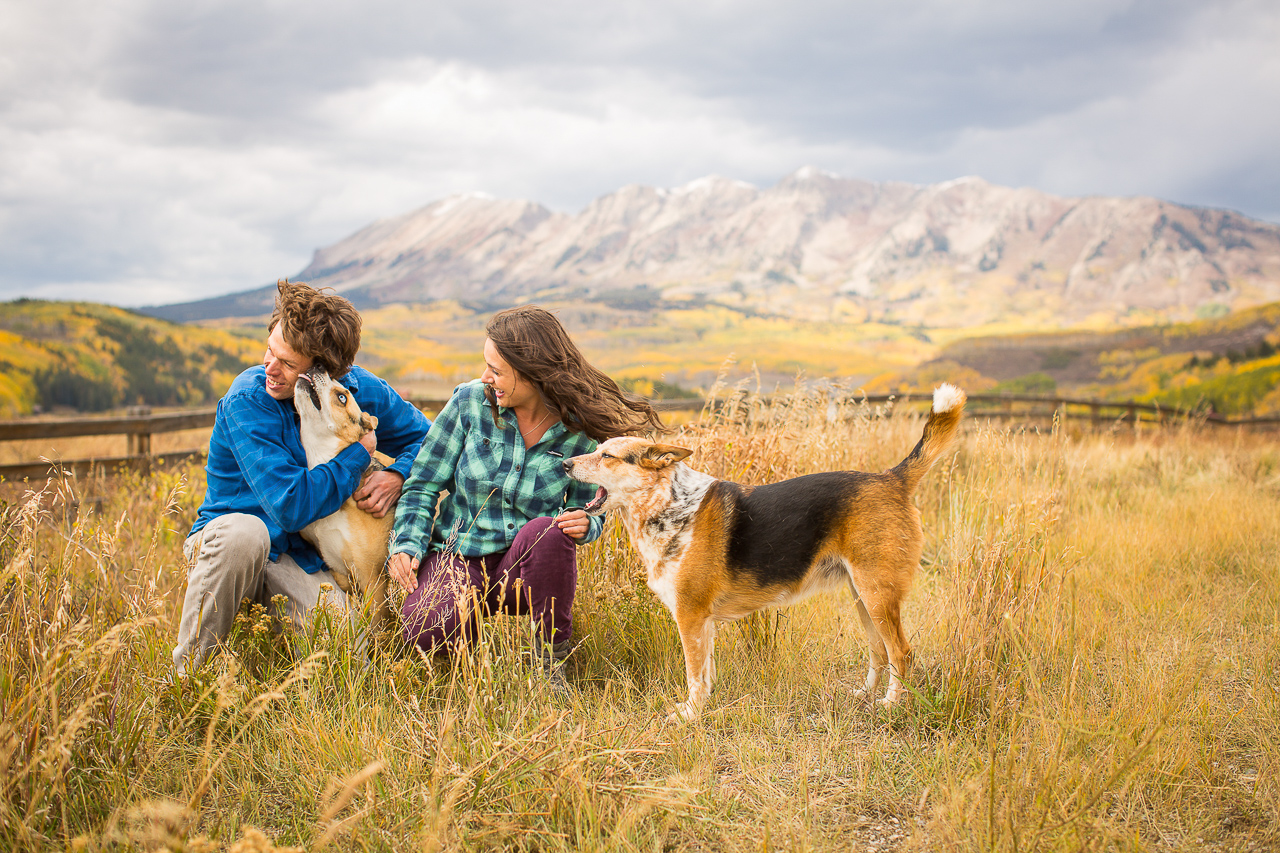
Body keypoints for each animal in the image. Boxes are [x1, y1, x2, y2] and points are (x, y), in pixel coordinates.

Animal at [565, 384, 962, 717]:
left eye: (607, 456)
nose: (564, 463)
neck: (668, 504)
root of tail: (892, 478)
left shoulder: (690, 615)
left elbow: (694, 674)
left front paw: (690, 715)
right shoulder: (703, 622)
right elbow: (705, 673)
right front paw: (703, 707)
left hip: (876, 594)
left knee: (901, 652)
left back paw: (892, 704)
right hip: (862, 597)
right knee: (879, 651)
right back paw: (865, 695)